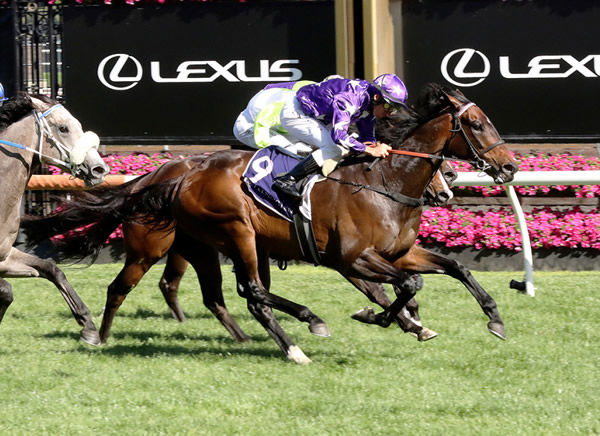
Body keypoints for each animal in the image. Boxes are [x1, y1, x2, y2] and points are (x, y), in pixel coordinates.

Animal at [0, 93, 110, 346]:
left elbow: (52, 269)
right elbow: (6, 290)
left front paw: (89, 328)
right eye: (63, 128)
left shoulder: (5, 256)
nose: (99, 169)